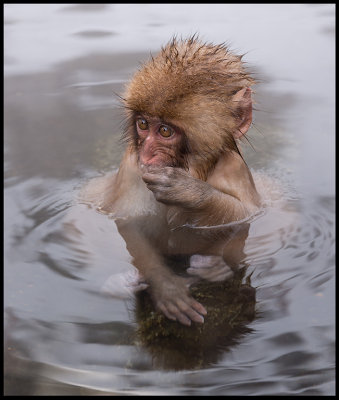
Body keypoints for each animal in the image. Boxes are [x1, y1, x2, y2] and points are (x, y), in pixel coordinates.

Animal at [83, 36, 262, 324]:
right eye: (143, 124)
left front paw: (191, 193)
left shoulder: (234, 168)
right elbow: (130, 222)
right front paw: (167, 287)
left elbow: (246, 215)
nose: (146, 154)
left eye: (165, 131)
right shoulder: (131, 166)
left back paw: (213, 267)